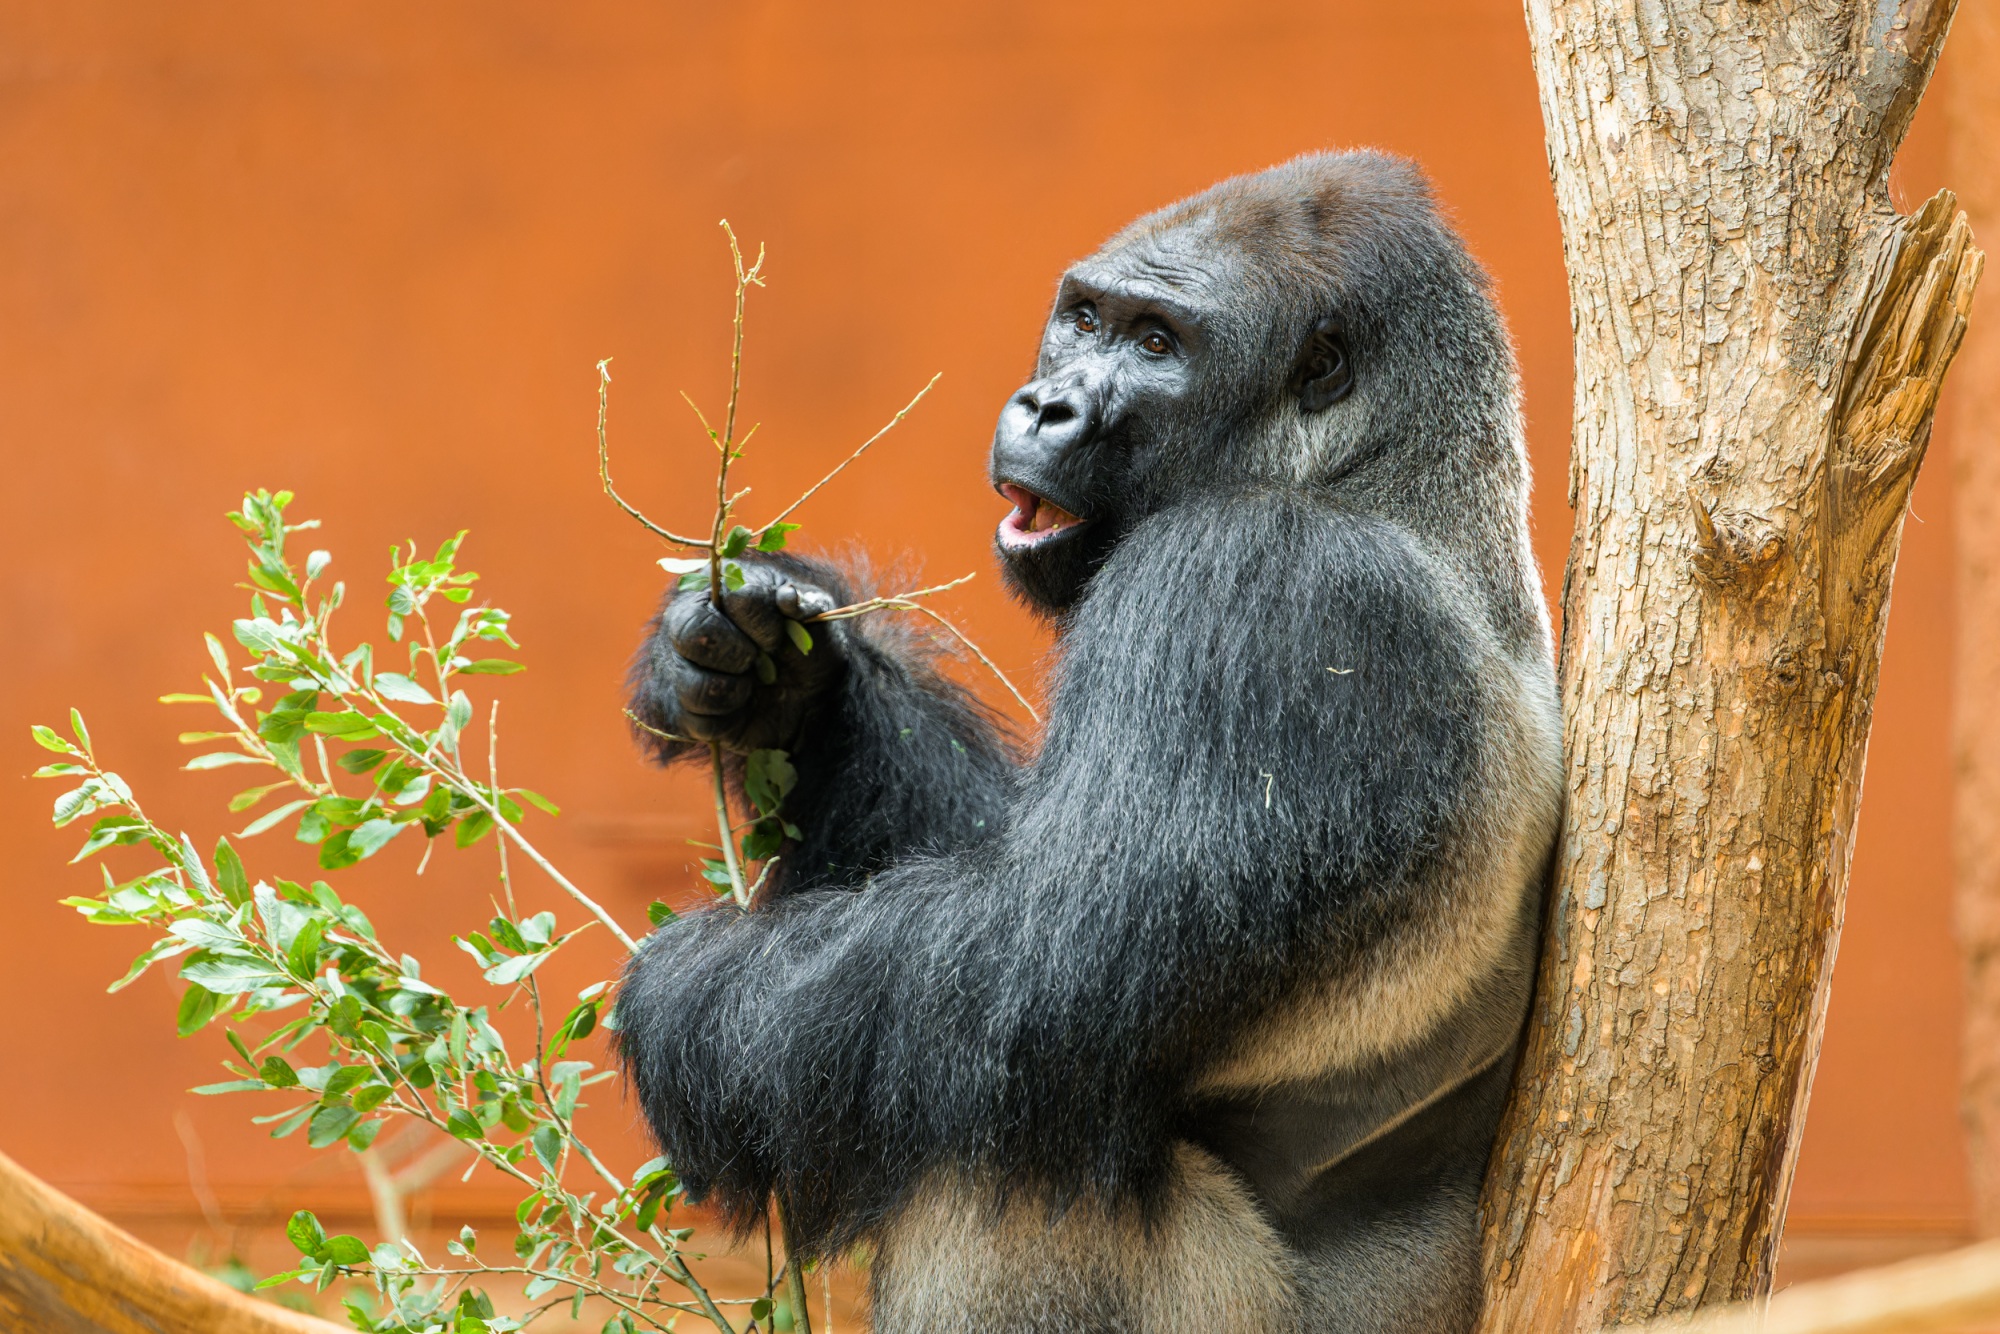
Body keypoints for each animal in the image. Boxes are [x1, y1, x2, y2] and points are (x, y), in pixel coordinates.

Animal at [620, 151, 1560, 1334]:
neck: (1386, 480)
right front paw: (783, 682)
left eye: (1157, 343)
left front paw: (685, 1001)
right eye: (1082, 319)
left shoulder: (1263, 583)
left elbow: (1028, 968)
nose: (1046, 404)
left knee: (995, 1157)